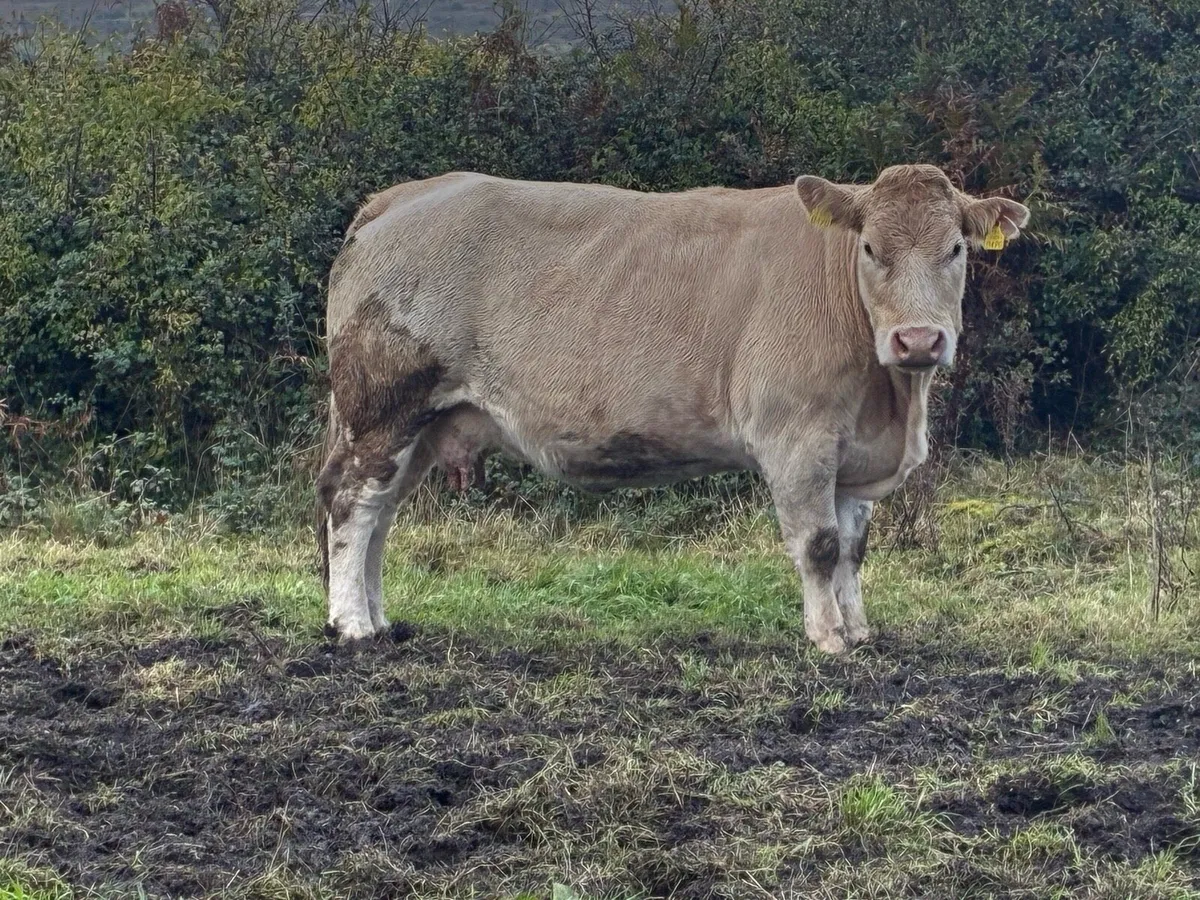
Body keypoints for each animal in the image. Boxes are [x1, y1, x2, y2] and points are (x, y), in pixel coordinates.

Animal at [316, 165, 1029, 653]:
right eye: (871, 250)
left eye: (955, 249)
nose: (918, 339)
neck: (891, 404)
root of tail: (405, 196)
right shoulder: (797, 436)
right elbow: (820, 545)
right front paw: (827, 639)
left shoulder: (853, 453)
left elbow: (853, 549)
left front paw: (857, 631)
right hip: (383, 408)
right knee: (352, 503)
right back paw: (351, 624)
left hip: (419, 424)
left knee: (381, 515)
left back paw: (379, 618)